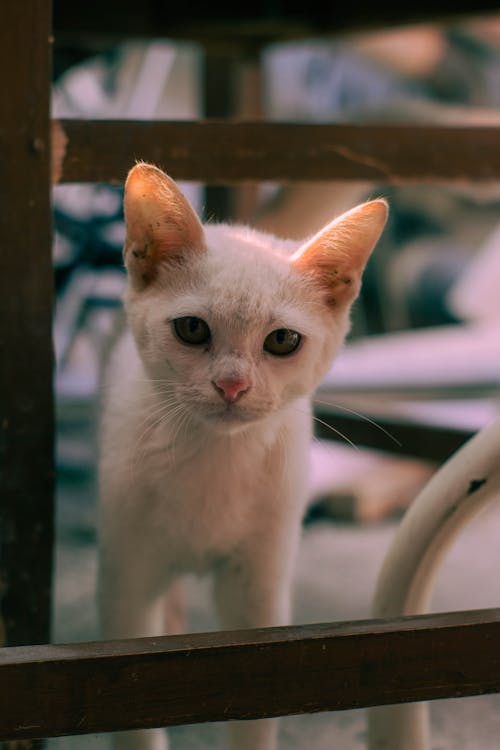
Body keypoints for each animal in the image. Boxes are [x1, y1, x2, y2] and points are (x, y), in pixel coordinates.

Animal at [97, 164, 386, 750]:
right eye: (191, 328)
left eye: (282, 340)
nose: (232, 385)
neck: (215, 458)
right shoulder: (125, 582)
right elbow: (133, 712)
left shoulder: (259, 587)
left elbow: (254, 702)